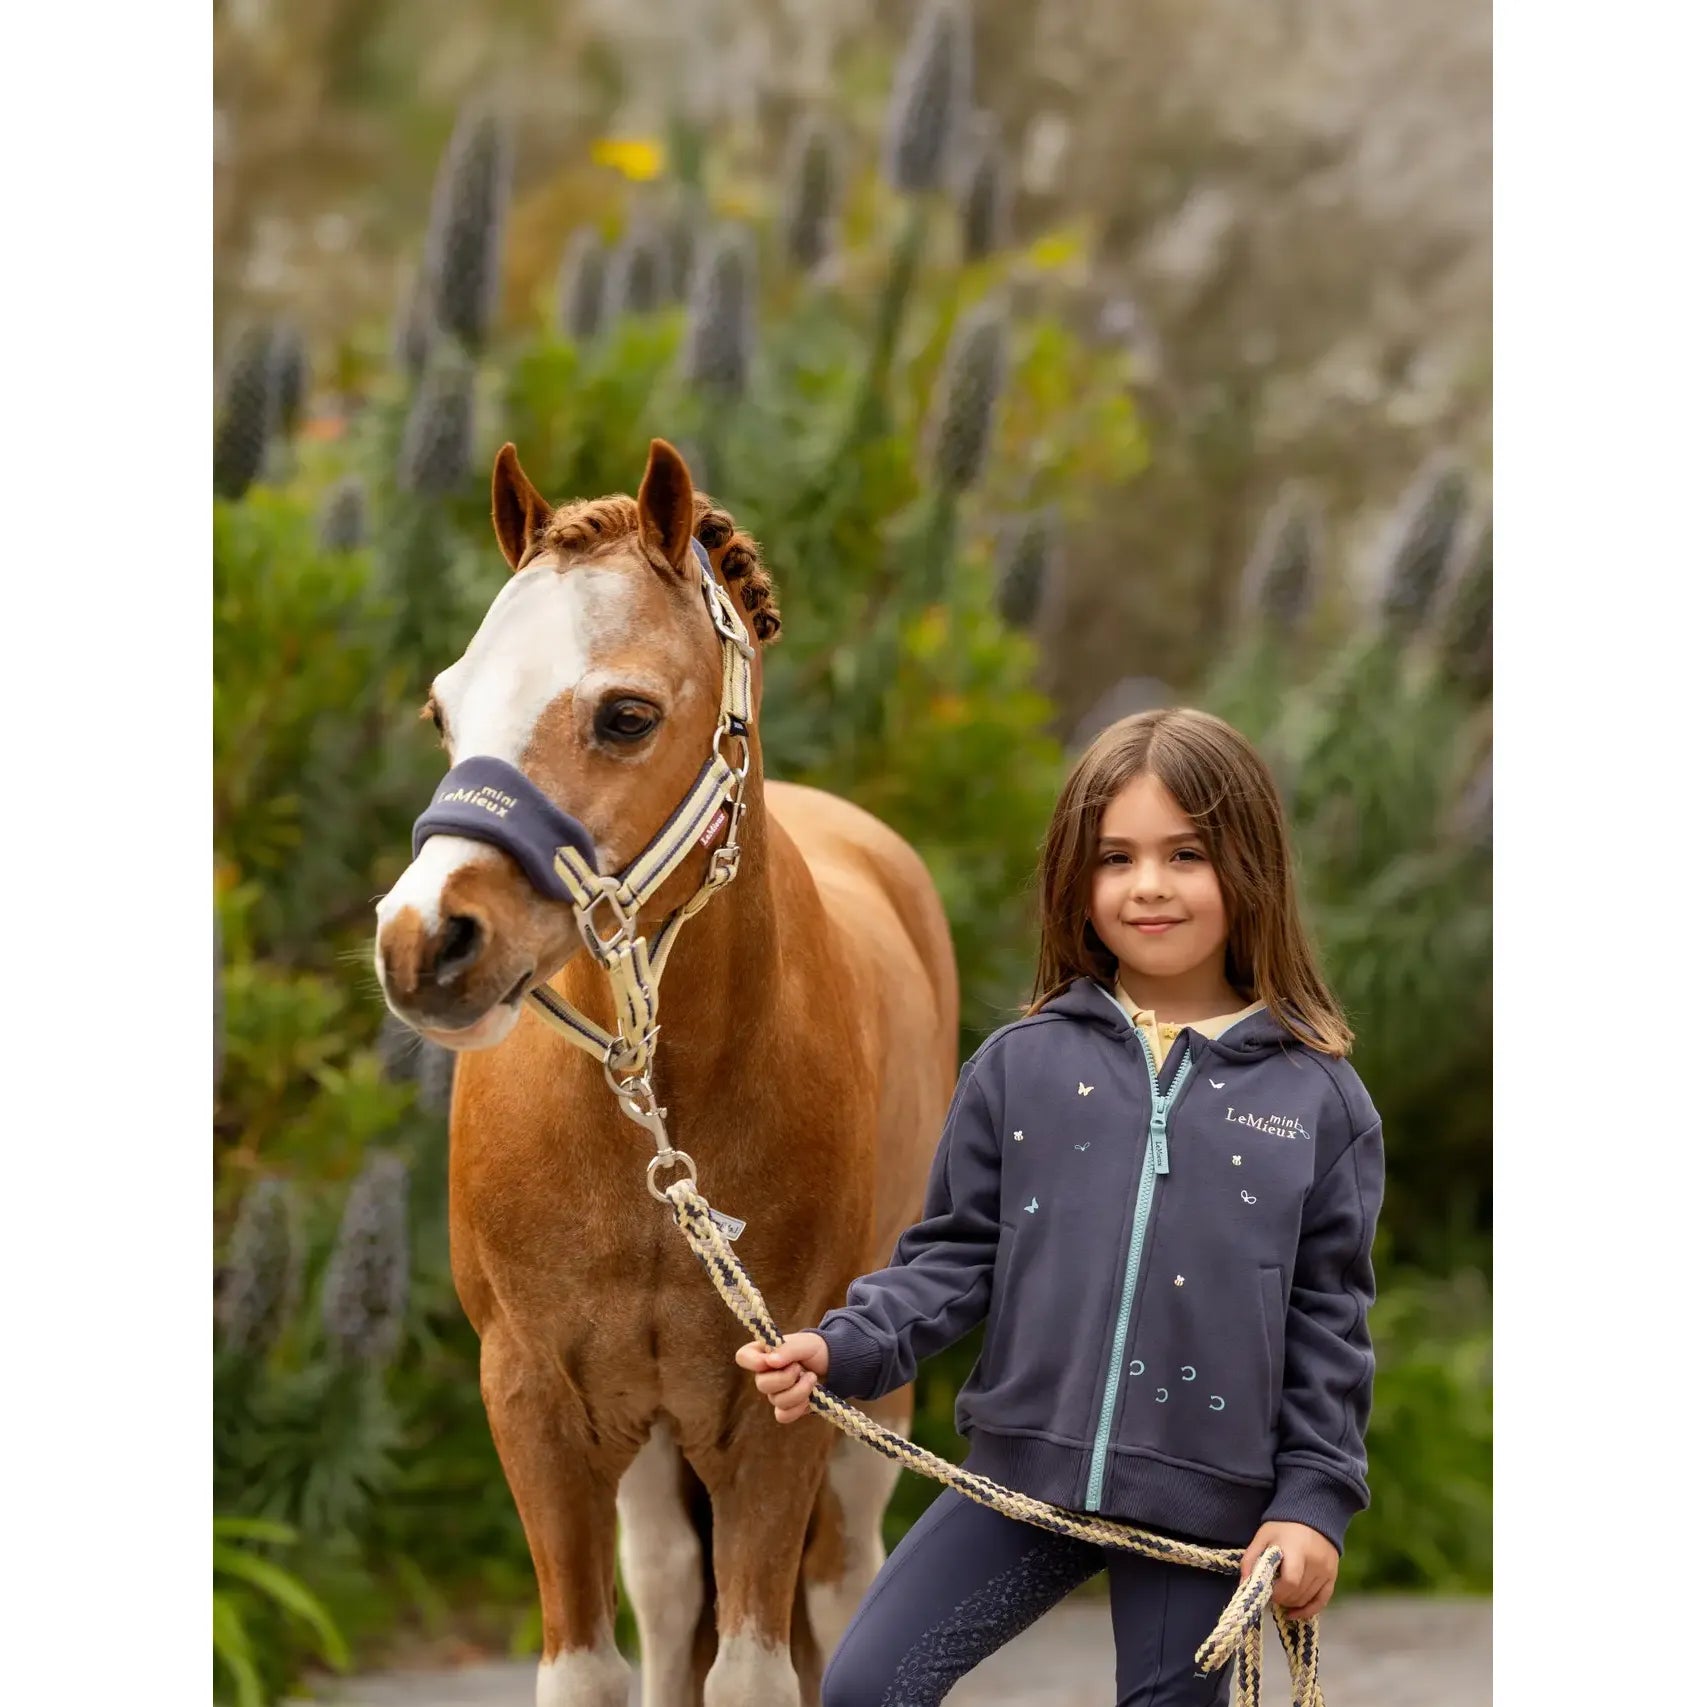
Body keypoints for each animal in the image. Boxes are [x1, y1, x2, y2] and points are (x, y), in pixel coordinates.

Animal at [373, 438, 959, 1707]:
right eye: (445, 710)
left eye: (627, 715)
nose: (420, 941)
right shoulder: (538, 1404)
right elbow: (591, 1668)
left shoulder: (782, 1404)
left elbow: (754, 1672)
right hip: (644, 1436)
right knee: (668, 1582)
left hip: (865, 1414)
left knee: (841, 1586)